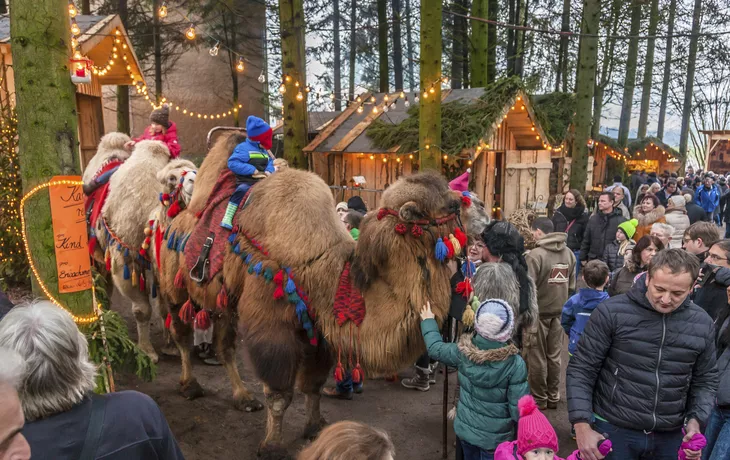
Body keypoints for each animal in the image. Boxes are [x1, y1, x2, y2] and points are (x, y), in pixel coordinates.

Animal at [157, 132, 490, 456]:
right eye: (452, 205)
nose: (486, 213)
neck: (325, 270)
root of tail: (178, 216)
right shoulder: (273, 323)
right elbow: (279, 393)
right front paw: (272, 445)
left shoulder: (318, 330)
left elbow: (314, 385)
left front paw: (315, 428)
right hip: (173, 282)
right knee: (181, 331)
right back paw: (190, 385)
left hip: (226, 300)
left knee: (224, 345)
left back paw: (243, 398)